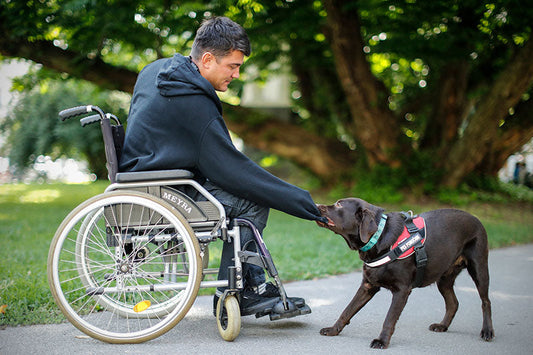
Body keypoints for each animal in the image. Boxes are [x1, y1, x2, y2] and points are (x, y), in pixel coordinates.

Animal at [316, 197, 494, 350]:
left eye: (339, 204)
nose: (316, 205)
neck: (379, 237)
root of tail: (476, 218)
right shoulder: (367, 286)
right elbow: (347, 310)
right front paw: (333, 330)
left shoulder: (402, 290)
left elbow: (389, 319)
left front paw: (382, 341)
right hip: (444, 278)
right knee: (453, 303)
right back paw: (442, 326)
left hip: (479, 267)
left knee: (486, 301)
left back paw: (487, 331)